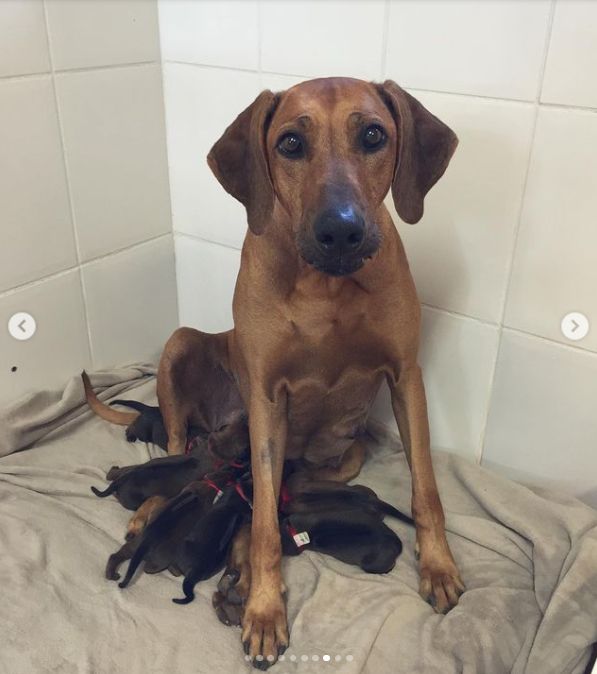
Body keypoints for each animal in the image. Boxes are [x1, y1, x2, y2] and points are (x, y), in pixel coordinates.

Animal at [151, 76, 464, 664]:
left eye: (373, 135)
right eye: (291, 143)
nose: (339, 232)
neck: (328, 285)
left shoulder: (406, 376)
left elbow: (426, 489)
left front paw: (437, 564)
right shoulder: (266, 398)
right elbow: (265, 527)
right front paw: (265, 609)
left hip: (343, 458)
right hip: (181, 349)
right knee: (181, 454)